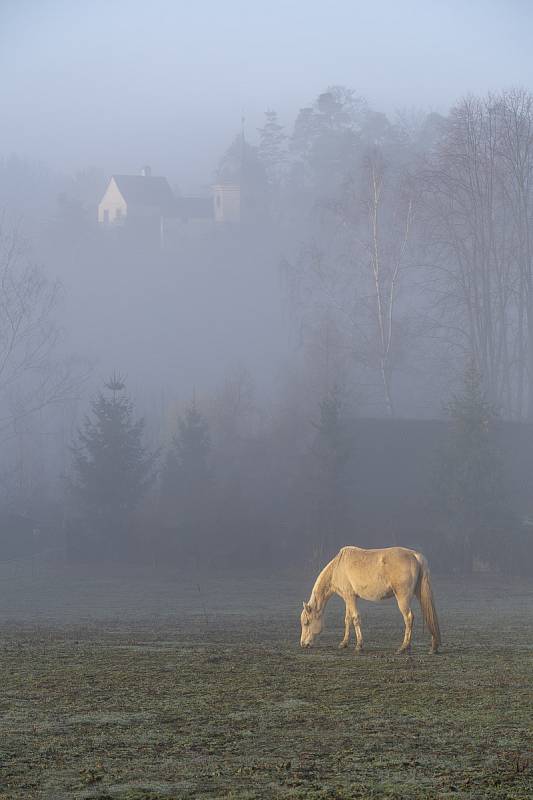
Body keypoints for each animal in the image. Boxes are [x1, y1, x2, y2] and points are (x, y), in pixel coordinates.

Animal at [300, 548, 440, 652]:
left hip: (403, 598)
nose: (303, 644)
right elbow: (347, 619)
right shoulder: (348, 599)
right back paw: (432, 646)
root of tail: (415, 556)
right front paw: (344, 643)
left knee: (409, 617)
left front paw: (359, 645)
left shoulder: (350, 597)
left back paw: (404, 647)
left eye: (306, 622)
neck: (337, 567)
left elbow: (355, 618)